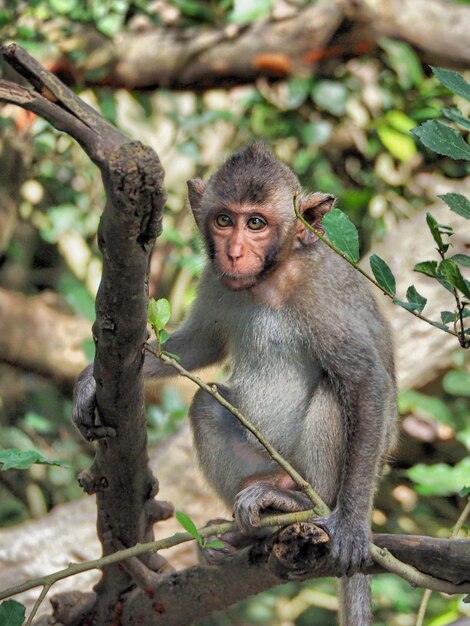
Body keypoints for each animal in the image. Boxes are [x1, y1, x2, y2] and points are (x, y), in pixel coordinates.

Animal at [73, 141, 396, 624]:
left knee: (334, 394)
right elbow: (199, 346)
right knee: (206, 406)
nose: (235, 253)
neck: (269, 279)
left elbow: (365, 379)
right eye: (224, 220)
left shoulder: (320, 295)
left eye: (256, 223)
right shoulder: (215, 280)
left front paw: (352, 524)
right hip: (260, 464)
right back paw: (252, 534)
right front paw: (88, 382)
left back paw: (306, 503)